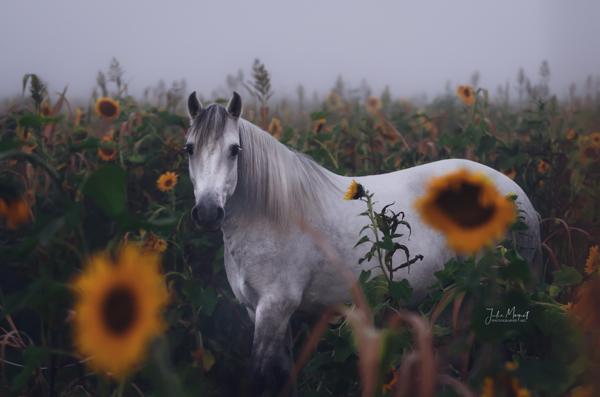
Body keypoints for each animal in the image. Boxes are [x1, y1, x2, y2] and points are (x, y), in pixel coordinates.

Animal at [185, 92, 540, 392]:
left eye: (234, 150)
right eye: (189, 149)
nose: (207, 212)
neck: (272, 216)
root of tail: (515, 192)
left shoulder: (275, 307)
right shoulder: (256, 310)